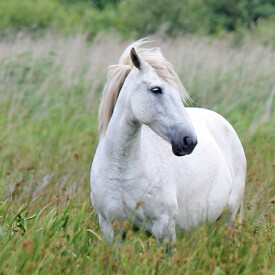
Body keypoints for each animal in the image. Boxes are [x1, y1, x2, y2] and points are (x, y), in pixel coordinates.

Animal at [90, 40, 246, 245]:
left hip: (227, 219)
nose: (189, 141)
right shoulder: (111, 228)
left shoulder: (164, 229)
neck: (122, 170)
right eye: (156, 89)